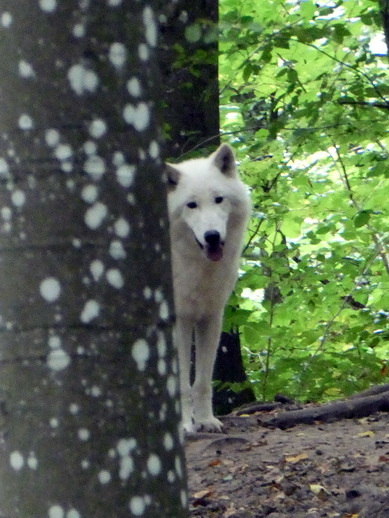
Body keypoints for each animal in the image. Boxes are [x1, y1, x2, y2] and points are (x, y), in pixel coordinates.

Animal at [165, 144, 250, 432]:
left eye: (218, 199)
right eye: (191, 205)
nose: (212, 236)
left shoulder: (211, 317)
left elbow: (202, 382)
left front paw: (205, 421)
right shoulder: (179, 321)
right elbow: (181, 384)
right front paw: (184, 426)